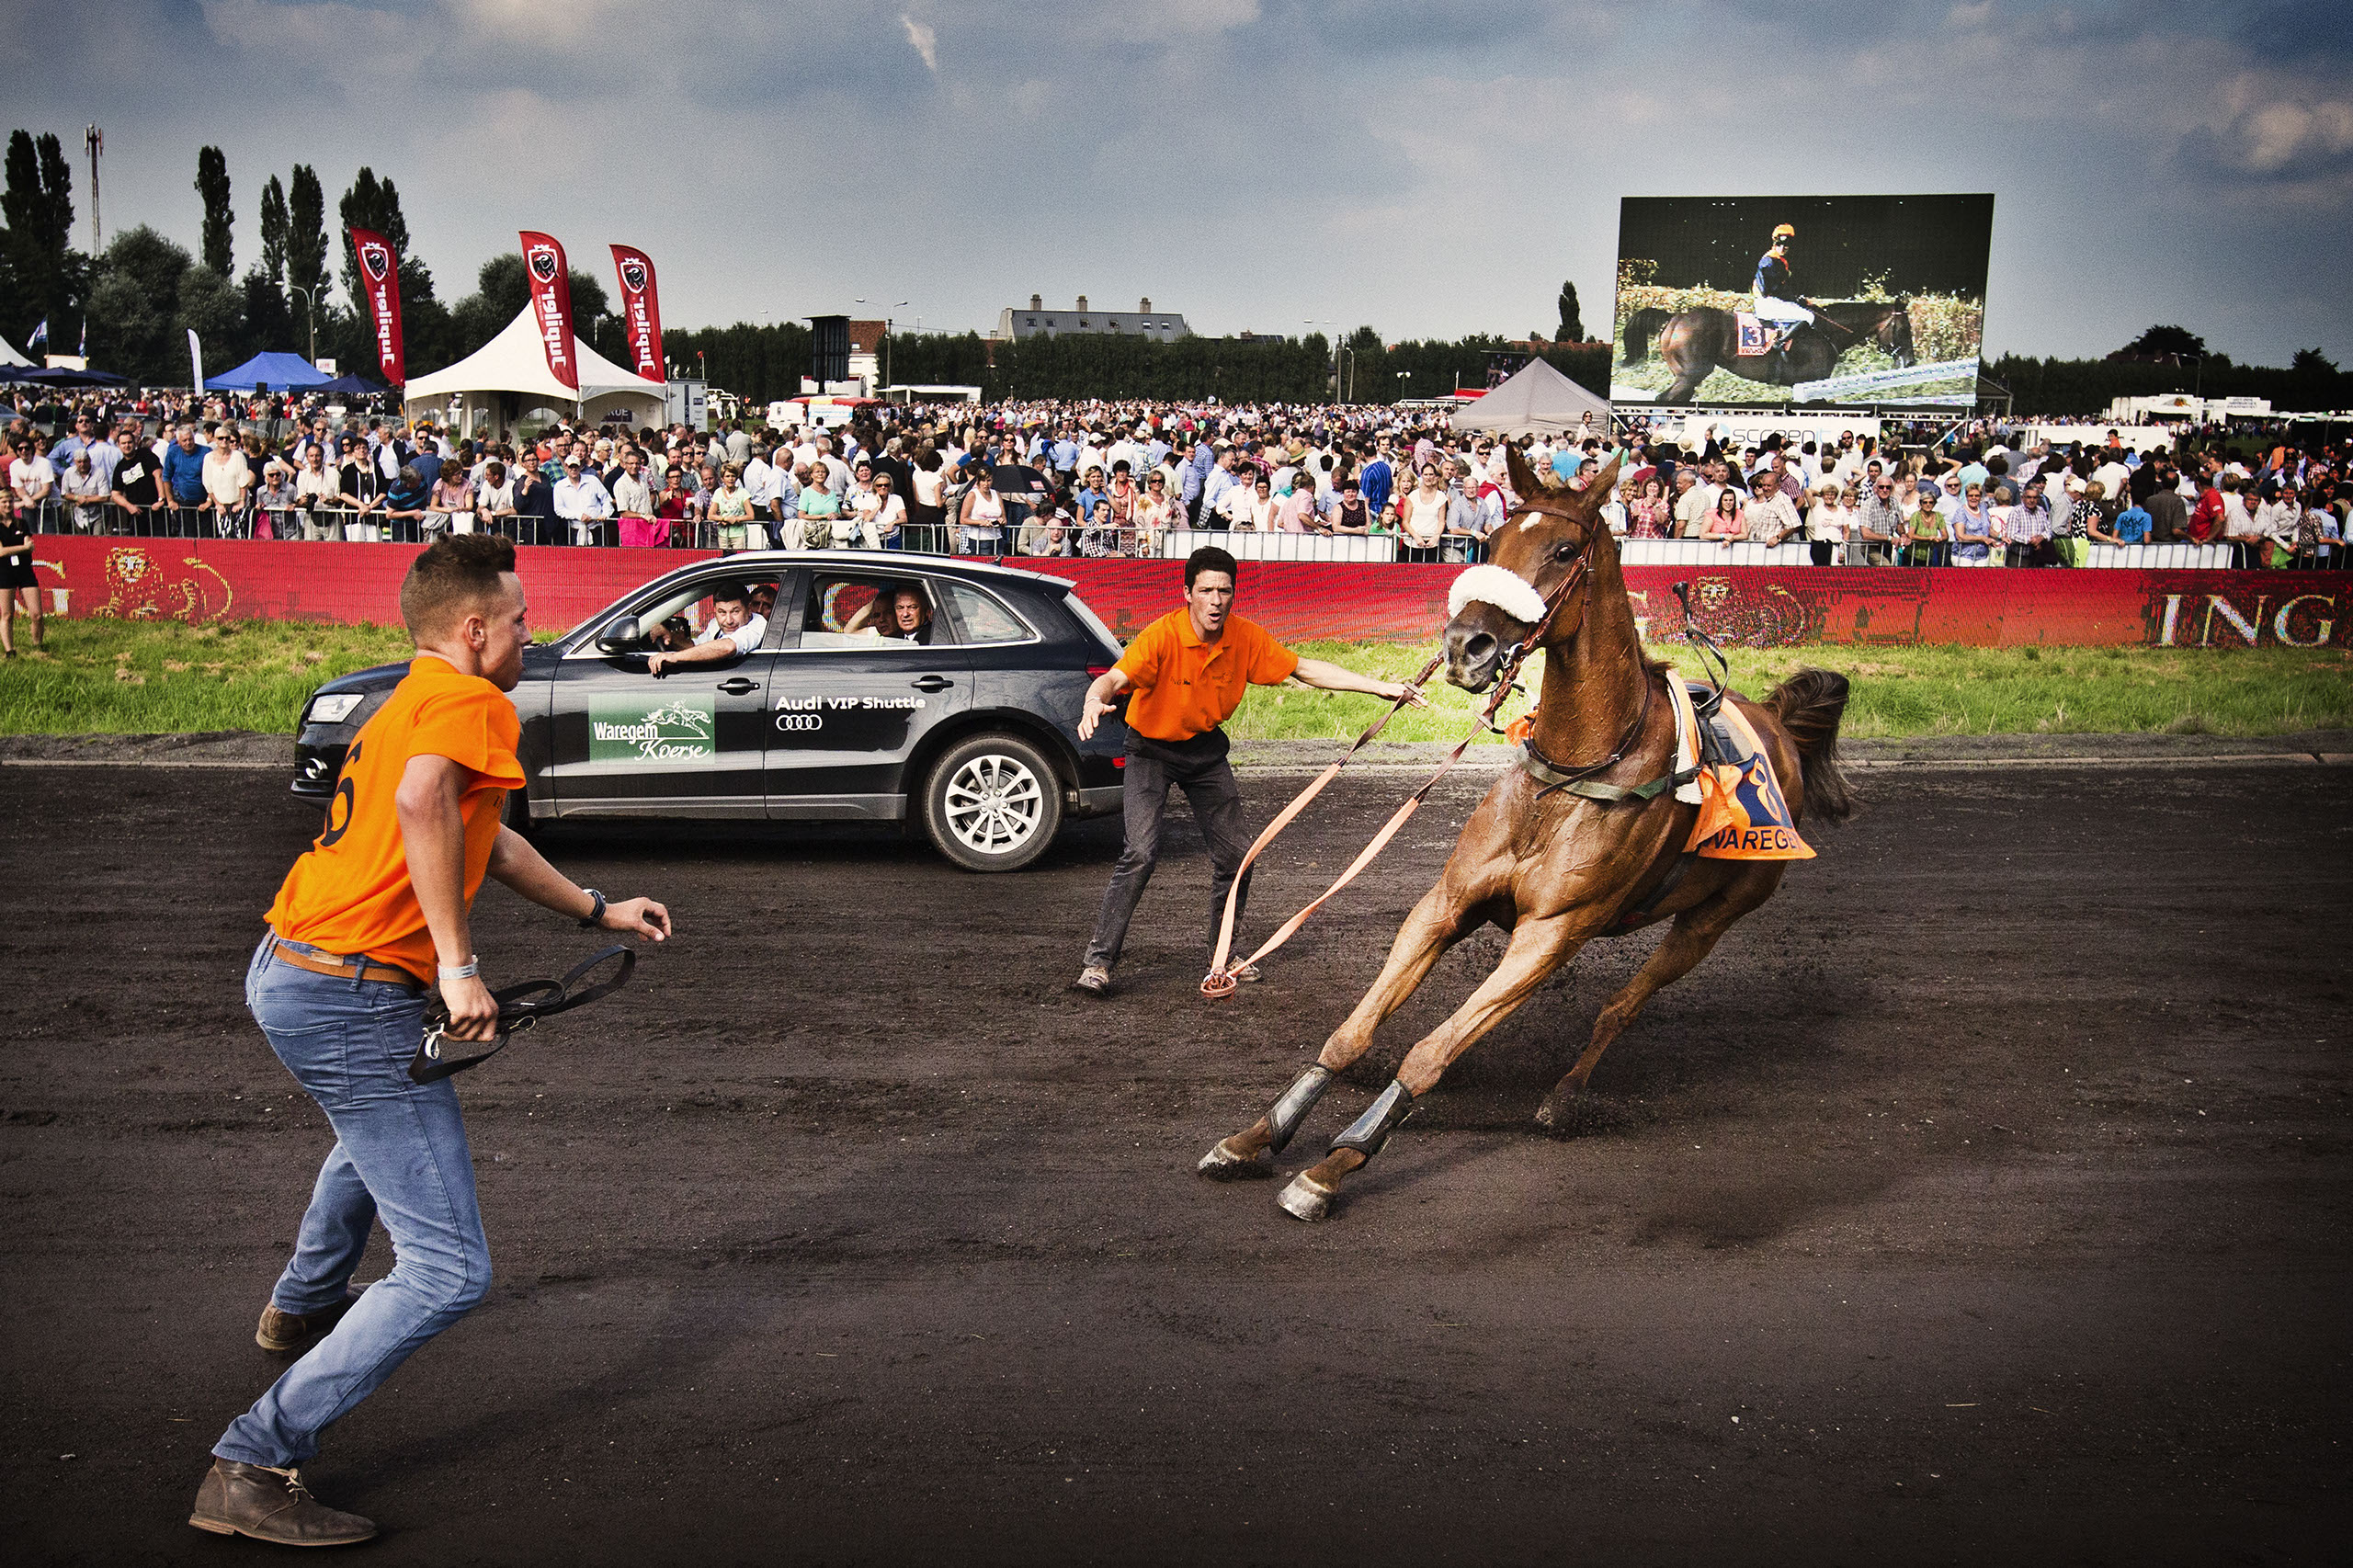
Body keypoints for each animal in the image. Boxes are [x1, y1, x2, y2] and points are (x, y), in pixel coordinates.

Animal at [1197, 445, 1855, 1222]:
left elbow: (1430, 1053)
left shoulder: (1549, 936)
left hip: (1711, 920)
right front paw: (1256, 1134)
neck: (1571, 774)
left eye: (1565, 550)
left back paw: (1564, 1100)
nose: (1466, 646)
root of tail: (1779, 724)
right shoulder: (1445, 904)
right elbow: (1351, 1031)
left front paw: (1334, 1166)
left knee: (1620, 1008)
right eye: (1493, 541)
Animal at [1625, 300, 1915, 404]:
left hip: (1686, 378)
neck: (1826, 331)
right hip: (1691, 375)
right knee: (1663, 399)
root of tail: (1675, 318)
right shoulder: (1810, 385)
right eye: (1904, 329)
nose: (1910, 362)